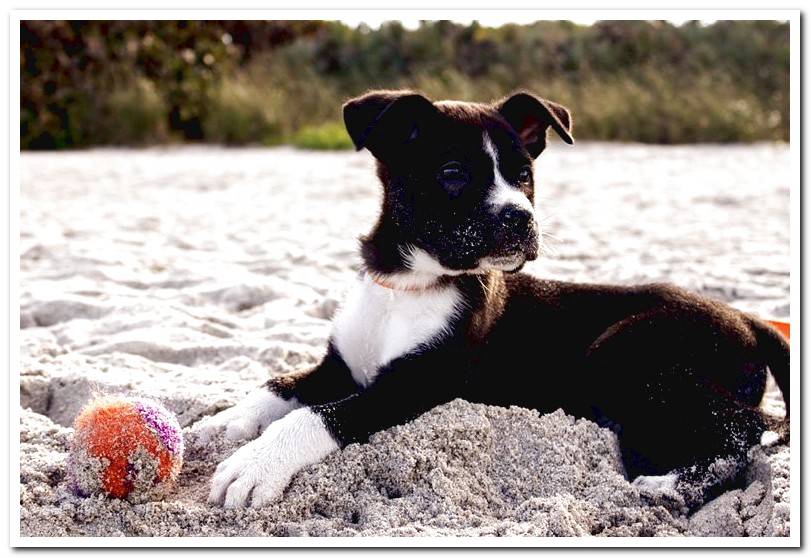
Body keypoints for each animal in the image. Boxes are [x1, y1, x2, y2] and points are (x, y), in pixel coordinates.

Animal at [200, 91, 788, 512]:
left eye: (524, 175)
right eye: (453, 174)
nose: (520, 219)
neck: (410, 284)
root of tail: (746, 318)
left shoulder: (415, 386)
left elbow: (318, 415)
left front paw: (256, 464)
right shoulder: (340, 366)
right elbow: (279, 384)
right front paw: (223, 422)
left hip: (623, 354)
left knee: (749, 431)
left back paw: (668, 488)